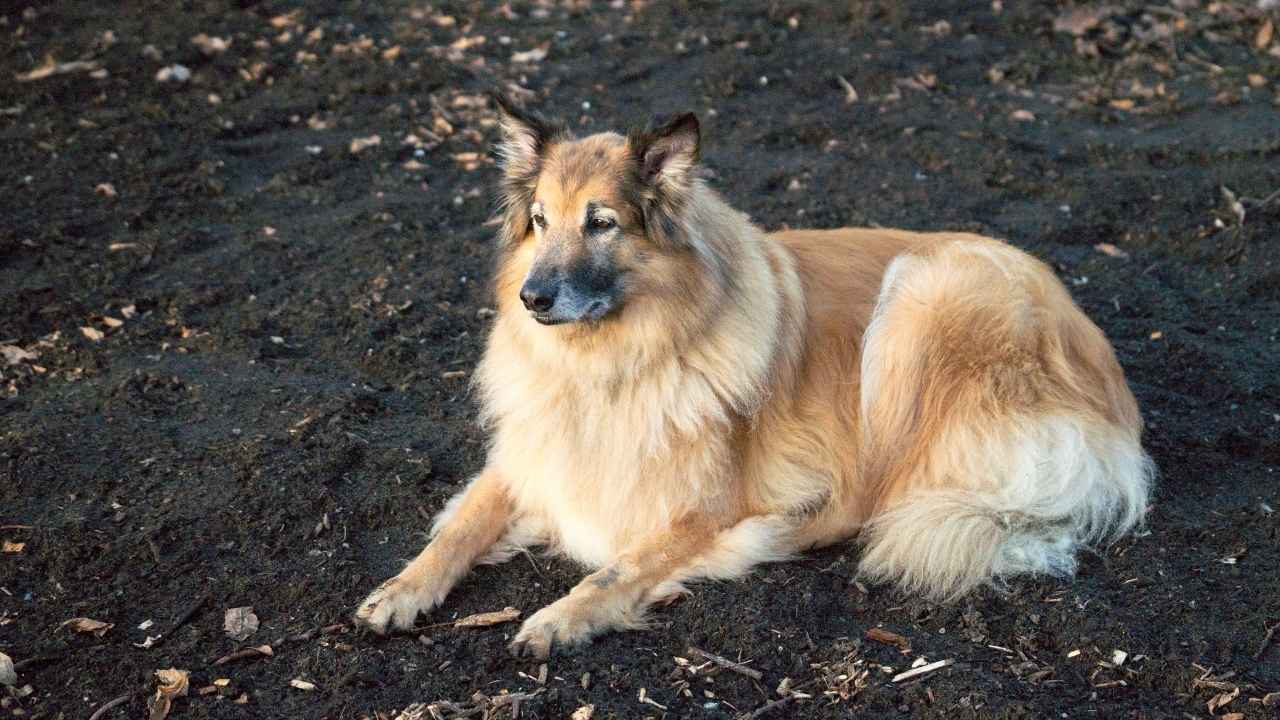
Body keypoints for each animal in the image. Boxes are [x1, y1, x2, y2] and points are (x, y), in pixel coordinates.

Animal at [355, 96, 1157, 655]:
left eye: (601, 223)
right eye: (542, 221)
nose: (531, 299)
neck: (615, 361)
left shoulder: (702, 505)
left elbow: (615, 568)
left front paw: (558, 618)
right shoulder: (532, 455)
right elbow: (461, 525)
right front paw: (401, 589)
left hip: (922, 297)